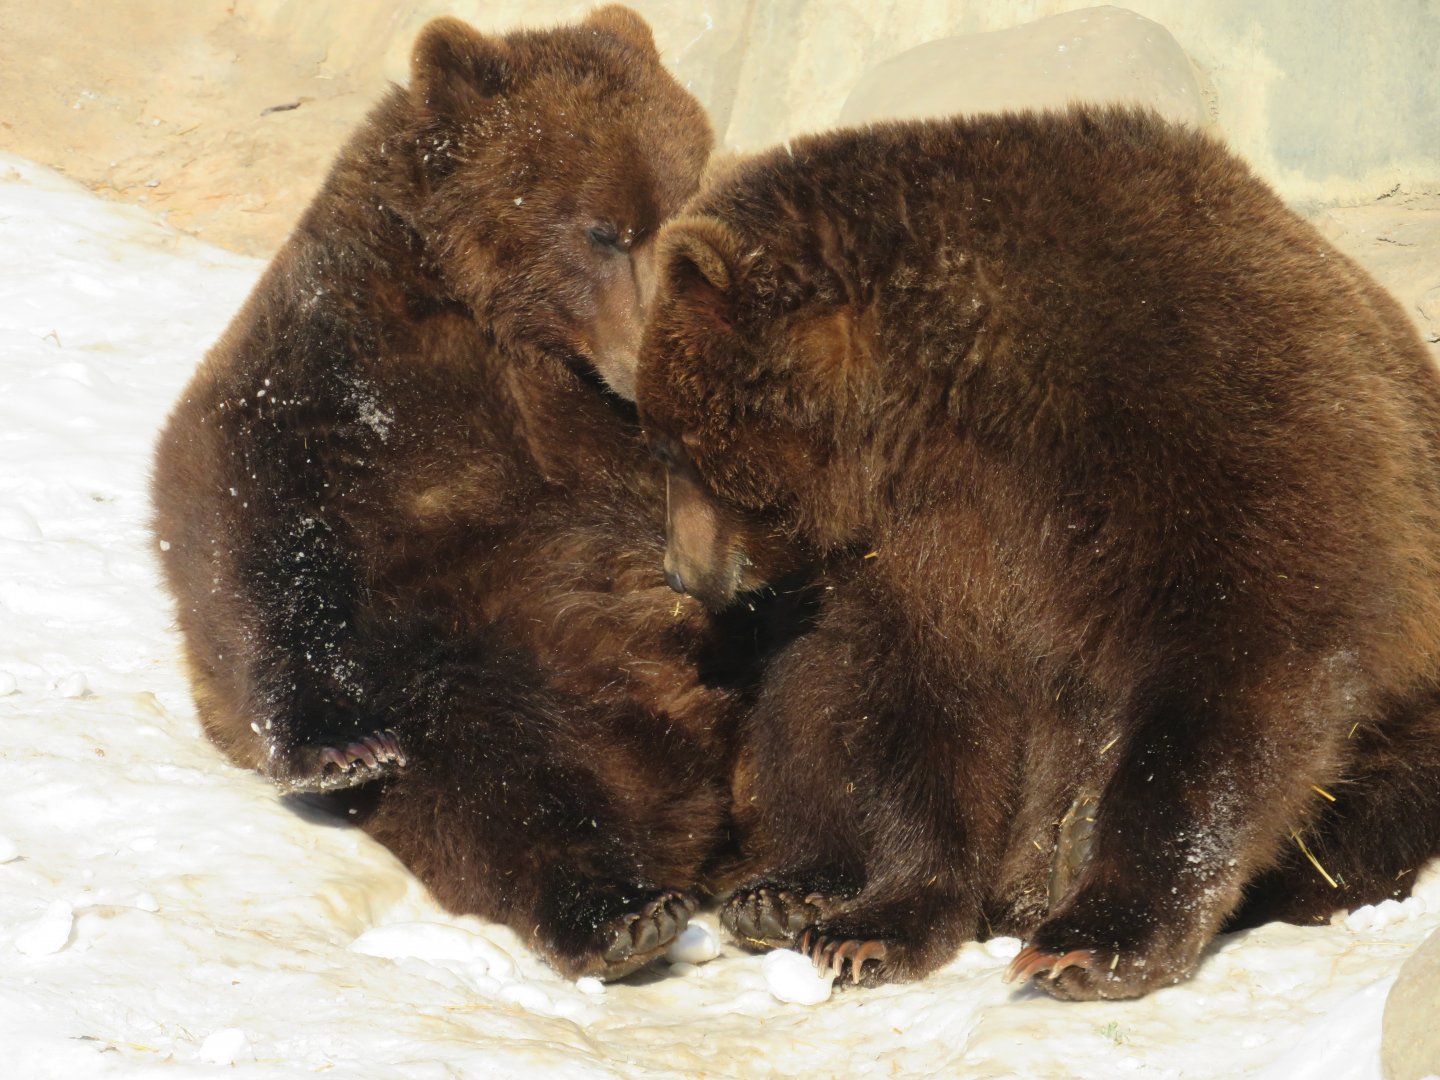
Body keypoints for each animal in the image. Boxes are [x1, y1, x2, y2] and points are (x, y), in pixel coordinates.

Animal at [151, 8, 759, 981]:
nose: (651, 357)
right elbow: (253, 534)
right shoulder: (342, 379)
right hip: (511, 685)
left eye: (683, 216)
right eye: (605, 230)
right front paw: (339, 748)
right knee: (503, 786)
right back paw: (620, 913)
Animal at [632, 106, 1440, 1000]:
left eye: (669, 445)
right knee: (805, 693)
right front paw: (876, 923)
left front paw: (1093, 935)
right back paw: (788, 890)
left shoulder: (1215, 424)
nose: (680, 572)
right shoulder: (931, 541)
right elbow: (919, 703)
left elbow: (1243, 673)